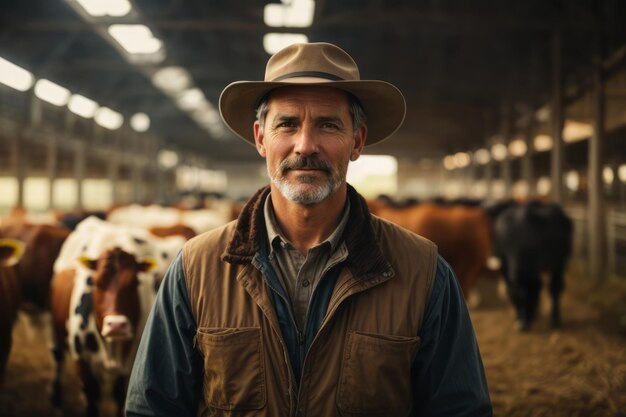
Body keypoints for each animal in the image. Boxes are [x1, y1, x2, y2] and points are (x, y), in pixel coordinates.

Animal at [490, 200, 572, 330]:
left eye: (526, 299)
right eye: (516, 301)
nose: (523, 324)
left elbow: (536, 287)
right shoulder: (504, 265)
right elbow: (516, 290)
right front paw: (521, 318)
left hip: (560, 261)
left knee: (555, 287)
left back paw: (555, 319)